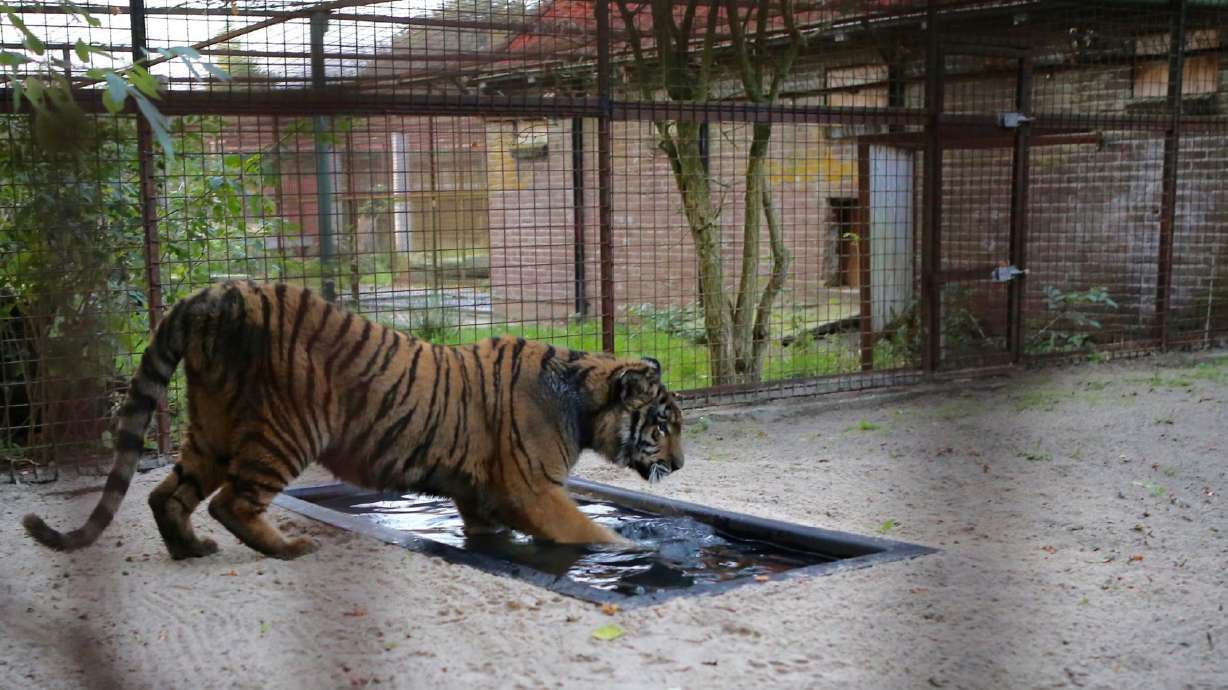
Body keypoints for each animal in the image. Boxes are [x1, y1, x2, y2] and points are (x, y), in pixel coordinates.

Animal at [22, 281, 684, 560]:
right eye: (663, 425)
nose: (679, 465)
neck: (580, 399)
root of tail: (215, 293)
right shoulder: (532, 489)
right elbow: (587, 530)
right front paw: (633, 548)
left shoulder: (481, 493)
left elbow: (489, 529)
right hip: (287, 429)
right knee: (232, 502)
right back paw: (288, 548)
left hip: (210, 429)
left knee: (166, 495)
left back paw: (191, 551)